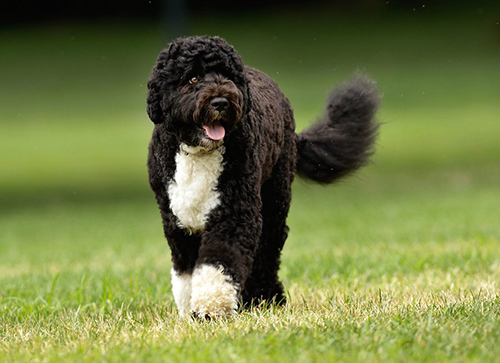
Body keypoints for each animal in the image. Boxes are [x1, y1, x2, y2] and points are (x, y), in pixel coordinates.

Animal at [145, 34, 378, 318]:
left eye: (228, 76)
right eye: (192, 78)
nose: (221, 102)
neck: (198, 153)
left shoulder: (235, 213)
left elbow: (218, 263)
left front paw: (212, 306)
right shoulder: (179, 220)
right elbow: (186, 272)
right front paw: (191, 309)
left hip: (274, 199)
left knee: (267, 250)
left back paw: (265, 298)